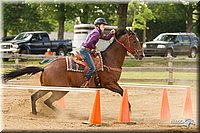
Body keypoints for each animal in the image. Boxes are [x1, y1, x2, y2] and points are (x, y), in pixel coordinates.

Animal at [2, 28, 144, 115]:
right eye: (134, 41)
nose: (141, 55)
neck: (109, 60)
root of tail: (46, 67)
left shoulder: (112, 83)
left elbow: (122, 92)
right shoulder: (109, 83)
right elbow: (122, 92)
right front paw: (129, 110)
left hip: (49, 87)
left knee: (35, 97)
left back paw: (35, 113)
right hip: (60, 90)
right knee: (47, 101)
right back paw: (63, 114)